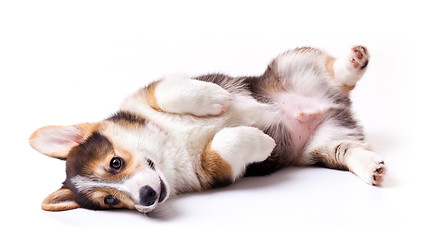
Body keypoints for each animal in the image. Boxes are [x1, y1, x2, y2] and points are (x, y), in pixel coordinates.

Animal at [28, 45, 384, 214]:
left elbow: (167, 92)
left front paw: (215, 99)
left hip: (290, 64)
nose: (146, 198)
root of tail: (333, 104)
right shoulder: (214, 172)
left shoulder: (149, 91)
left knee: (337, 75)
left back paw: (353, 61)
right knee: (350, 151)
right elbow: (224, 148)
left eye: (115, 163)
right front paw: (261, 140)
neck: (164, 151)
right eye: (110, 201)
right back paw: (372, 168)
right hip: (324, 144)